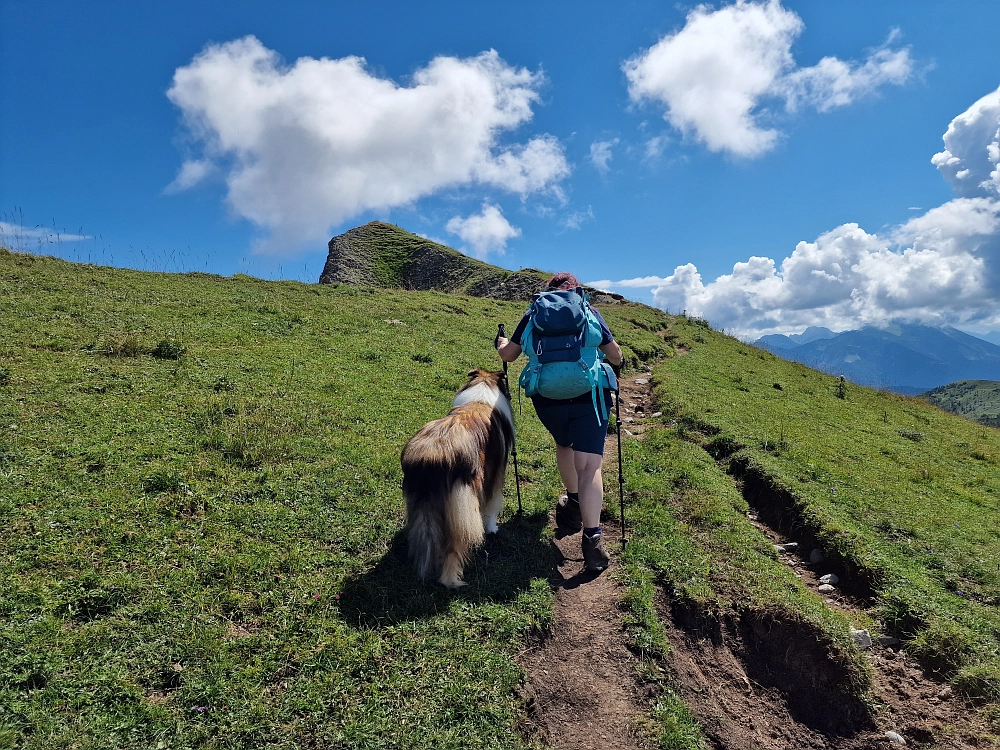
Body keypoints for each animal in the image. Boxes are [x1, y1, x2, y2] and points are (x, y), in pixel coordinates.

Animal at [402, 368, 516, 588]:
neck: (482, 391)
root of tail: (433, 456)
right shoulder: (496, 476)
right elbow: (492, 505)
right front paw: (492, 528)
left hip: (420, 503)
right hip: (461, 506)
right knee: (453, 548)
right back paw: (451, 581)